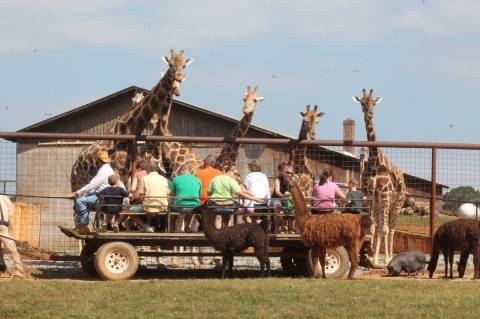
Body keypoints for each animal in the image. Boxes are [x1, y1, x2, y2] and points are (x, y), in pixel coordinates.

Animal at [70, 48, 192, 191]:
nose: (179, 78)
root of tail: (75, 164)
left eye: (184, 65)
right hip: (77, 182)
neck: (128, 129)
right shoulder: (120, 170)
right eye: (170, 64)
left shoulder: (130, 171)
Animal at [350, 89, 406, 266]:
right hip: (381, 203)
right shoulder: (371, 196)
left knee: (392, 228)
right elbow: (374, 228)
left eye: (374, 103)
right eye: (362, 102)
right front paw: (372, 258)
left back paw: (390, 257)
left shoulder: (385, 194)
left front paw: (386, 259)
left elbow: (386, 229)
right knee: (381, 226)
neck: (375, 162)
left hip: (396, 203)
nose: (369, 114)